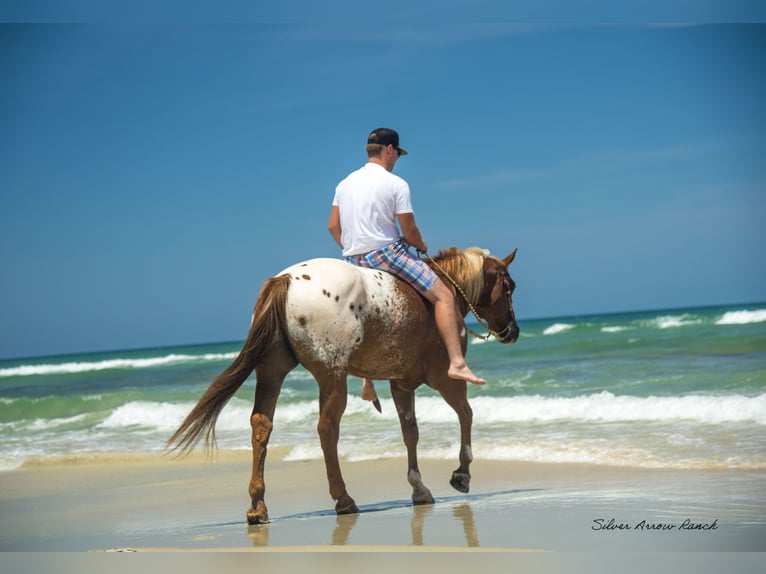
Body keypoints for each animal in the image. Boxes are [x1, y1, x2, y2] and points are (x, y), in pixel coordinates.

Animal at [168, 248, 520, 528]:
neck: (446, 291)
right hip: (332, 375)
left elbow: (410, 433)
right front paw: (462, 473)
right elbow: (466, 415)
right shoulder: (446, 379)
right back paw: (343, 498)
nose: (513, 331)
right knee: (327, 428)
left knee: (261, 425)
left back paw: (258, 506)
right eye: (509, 286)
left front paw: (419, 488)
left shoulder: (401, 384)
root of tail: (286, 279)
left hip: (272, 371)